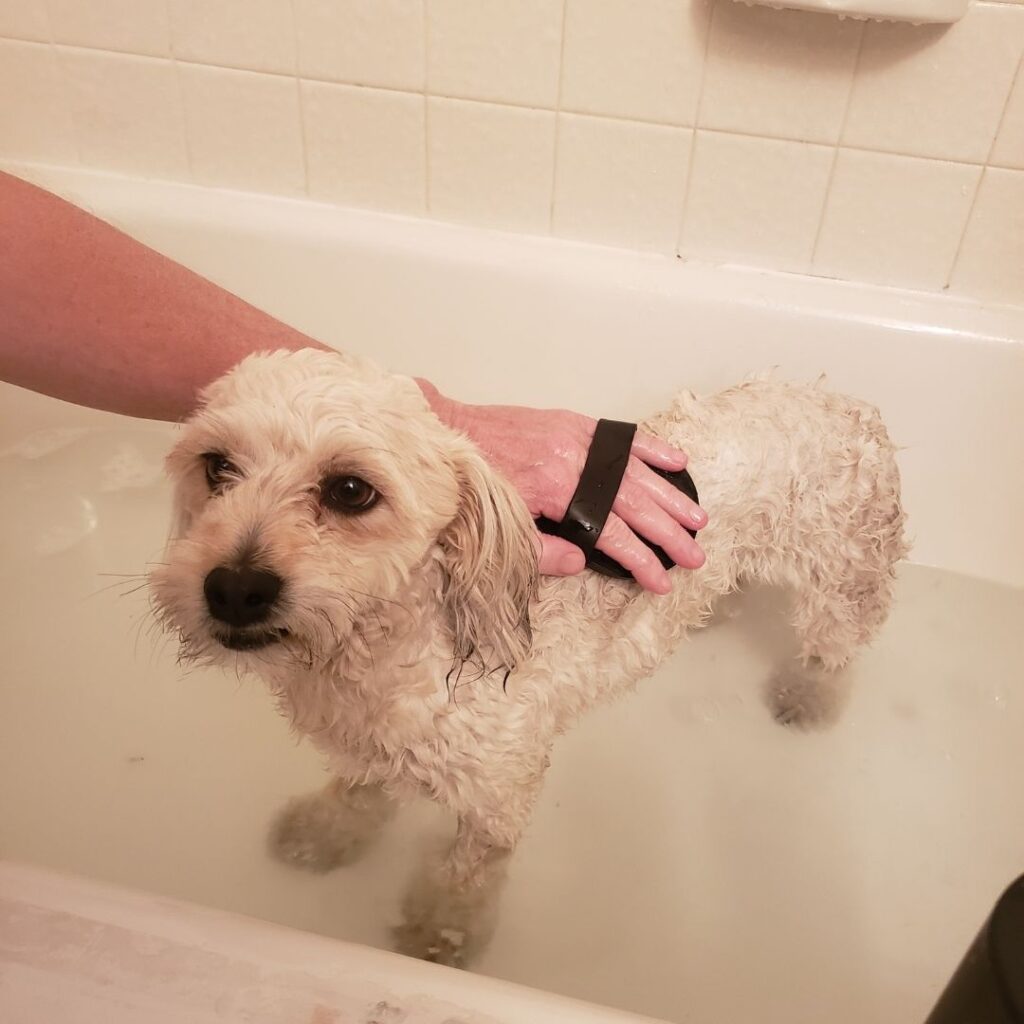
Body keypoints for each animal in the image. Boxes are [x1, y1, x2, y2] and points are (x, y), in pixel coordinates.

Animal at [149, 348, 905, 962]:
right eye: (217, 467)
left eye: (351, 490)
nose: (235, 588)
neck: (393, 644)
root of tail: (846, 404)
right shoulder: (373, 742)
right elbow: (358, 791)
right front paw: (322, 832)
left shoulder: (499, 787)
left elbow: (468, 870)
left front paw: (439, 934)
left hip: (845, 573)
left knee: (837, 645)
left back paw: (808, 697)